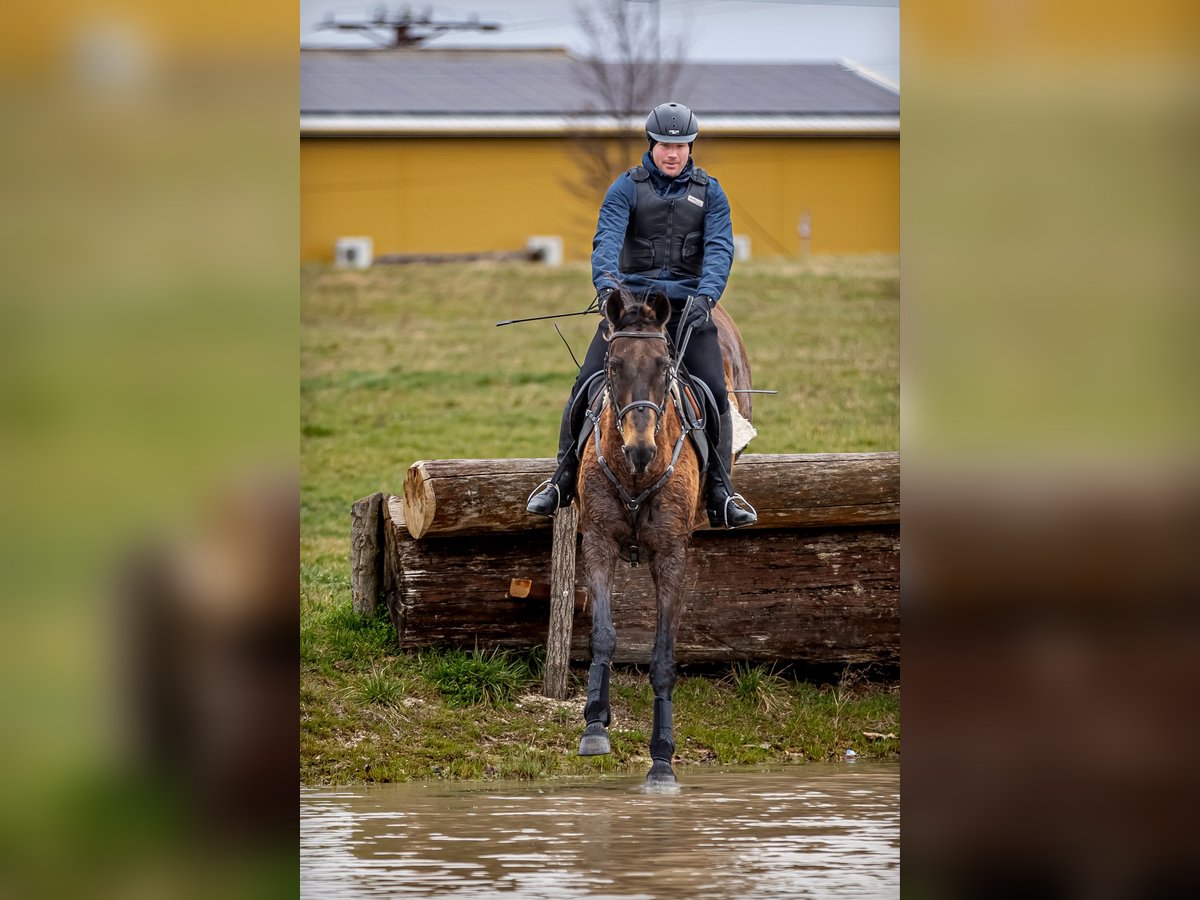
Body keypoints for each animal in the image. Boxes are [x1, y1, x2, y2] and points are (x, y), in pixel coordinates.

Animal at [571, 286, 748, 782]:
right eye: (614, 365)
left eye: (663, 366)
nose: (640, 448)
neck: (636, 476)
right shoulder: (598, 541)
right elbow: (604, 634)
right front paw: (595, 724)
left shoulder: (671, 555)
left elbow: (664, 657)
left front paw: (663, 758)